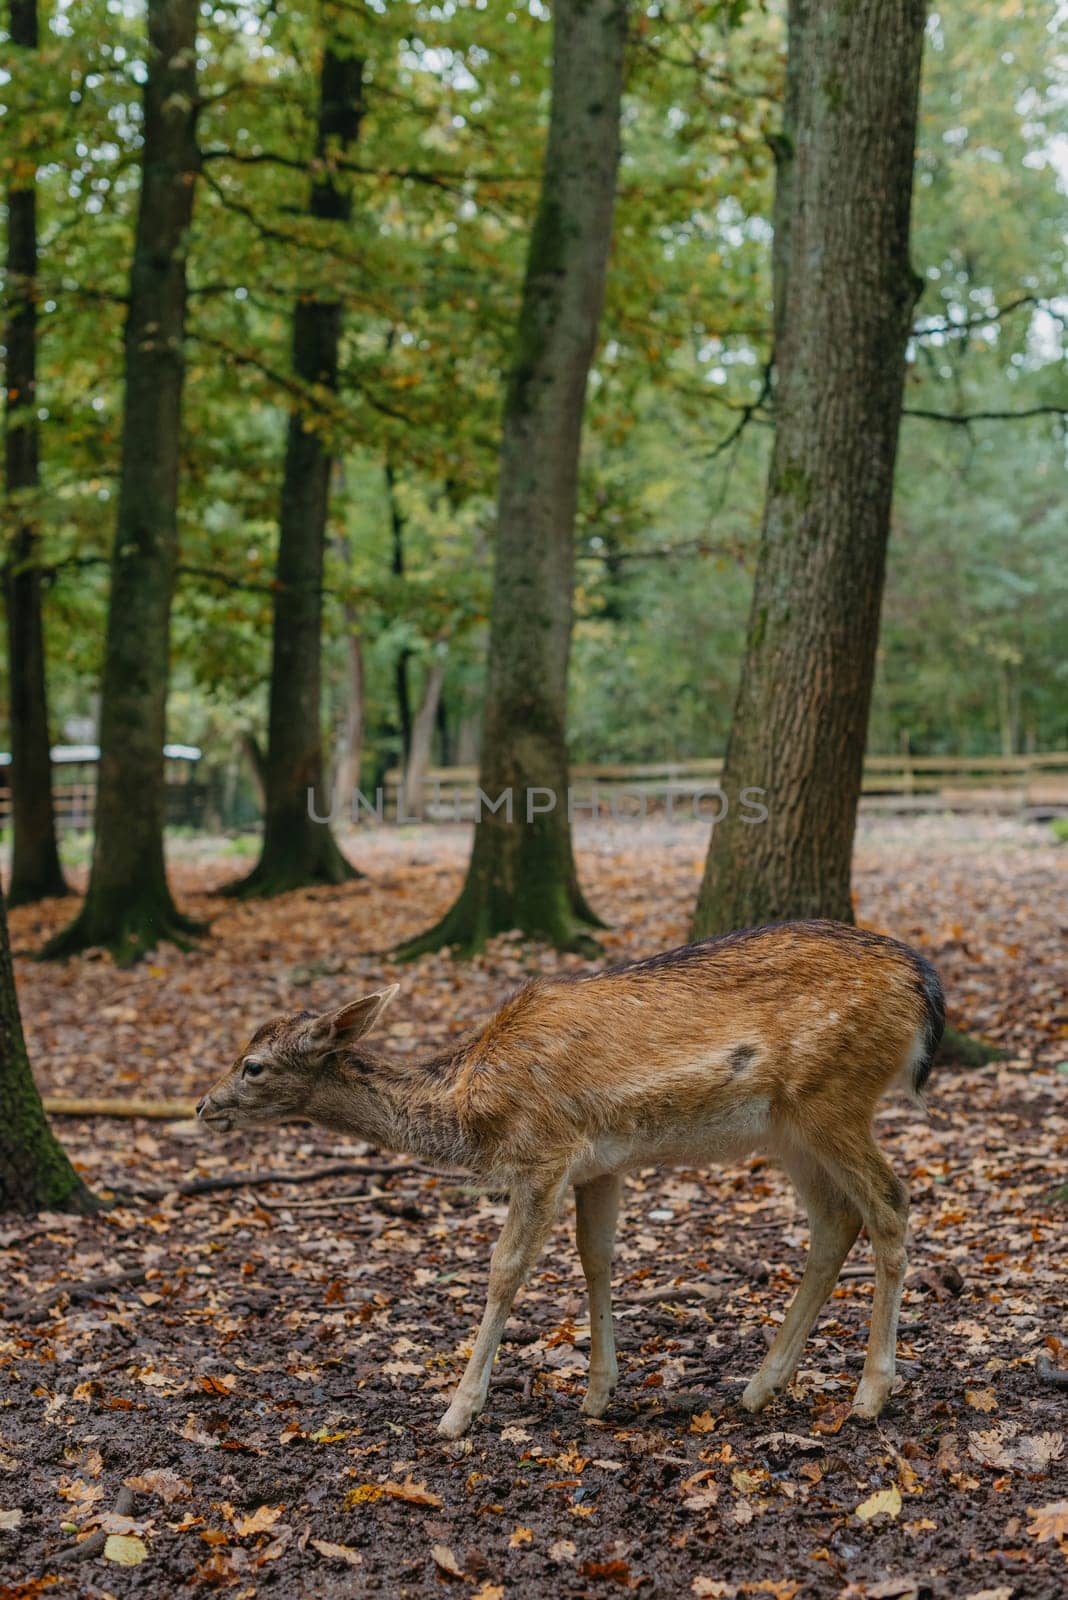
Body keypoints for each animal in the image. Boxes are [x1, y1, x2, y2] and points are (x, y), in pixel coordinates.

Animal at [194, 921, 940, 1446]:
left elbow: (505, 1270)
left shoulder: (542, 1153)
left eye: (253, 1065)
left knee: (891, 1203)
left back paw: (870, 1394)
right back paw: (760, 1387)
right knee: (835, 1220)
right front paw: (598, 1393)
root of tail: (924, 985)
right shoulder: (599, 1165)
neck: (470, 1103)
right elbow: (596, 1258)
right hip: (789, 1130)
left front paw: (458, 1412)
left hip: (833, 1098)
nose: (203, 1106)